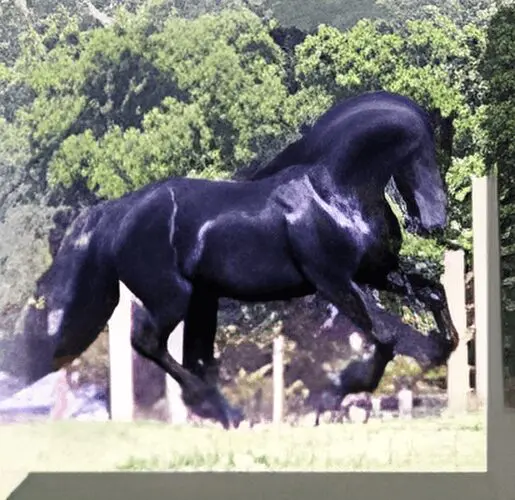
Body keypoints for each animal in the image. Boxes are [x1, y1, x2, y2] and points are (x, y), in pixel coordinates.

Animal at [20, 91, 458, 430]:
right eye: (424, 150)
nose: (433, 221)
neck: (335, 195)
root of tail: (118, 211)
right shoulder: (333, 281)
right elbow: (386, 335)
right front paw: (334, 394)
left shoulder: (376, 272)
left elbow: (434, 297)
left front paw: (438, 350)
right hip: (172, 297)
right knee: (147, 341)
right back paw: (222, 409)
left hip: (202, 299)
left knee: (194, 355)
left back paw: (221, 411)